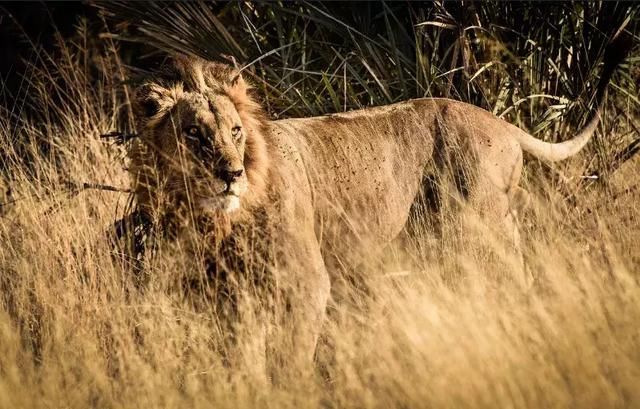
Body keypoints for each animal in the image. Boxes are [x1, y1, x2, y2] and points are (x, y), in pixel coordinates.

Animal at [127, 39, 628, 374]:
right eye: (194, 133)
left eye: (235, 131)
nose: (231, 174)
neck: (215, 219)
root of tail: (502, 123)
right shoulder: (230, 295)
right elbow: (243, 360)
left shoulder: (307, 284)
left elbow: (291, 360)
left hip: (484, 228)